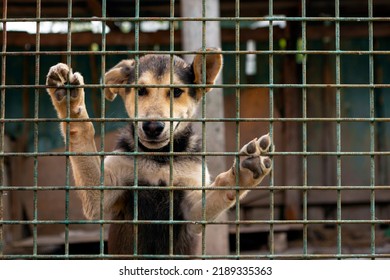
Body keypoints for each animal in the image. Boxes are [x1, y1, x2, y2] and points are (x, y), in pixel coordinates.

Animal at [45, 48, 272, 256]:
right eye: (141, 90)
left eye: (176, 92)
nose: (153, 127)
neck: (159, 158)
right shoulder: (102, 193)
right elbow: (83, 135)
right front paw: (70, 103)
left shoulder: (193, 208)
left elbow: (220, 189)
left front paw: (243, 172)